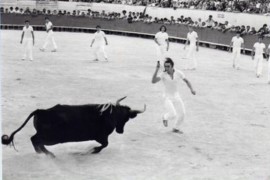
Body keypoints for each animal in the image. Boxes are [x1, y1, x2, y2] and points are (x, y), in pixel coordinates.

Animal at [1, 96, 146, 157]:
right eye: (125, 118)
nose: (120, 131)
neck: (109, 115)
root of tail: (41, 111)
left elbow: (105, 145)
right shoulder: (101, 137)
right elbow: (105, 144)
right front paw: (93, 150)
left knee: (35, 140)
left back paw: (43, 154)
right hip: (52, 138)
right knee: (35, 140)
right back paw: (49, 154)